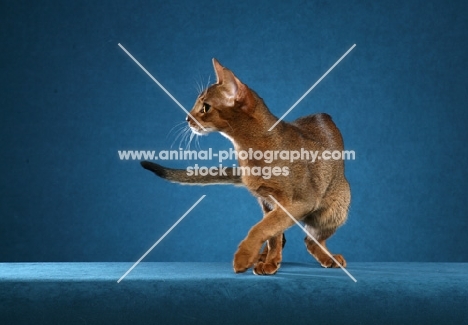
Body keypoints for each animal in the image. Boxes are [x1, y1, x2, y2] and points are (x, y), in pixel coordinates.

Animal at [143, 59, 352, 274]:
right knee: (287, 238)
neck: (249, 149)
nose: (187, 119)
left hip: (336, 209)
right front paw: (269, 262)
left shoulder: (300, 202)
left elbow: (262, 228)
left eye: (205, 107)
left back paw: (329, 258)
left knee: (311, 240)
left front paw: (244, 257)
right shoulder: (268, 202)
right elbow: (273, 235)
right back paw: (263, 256)